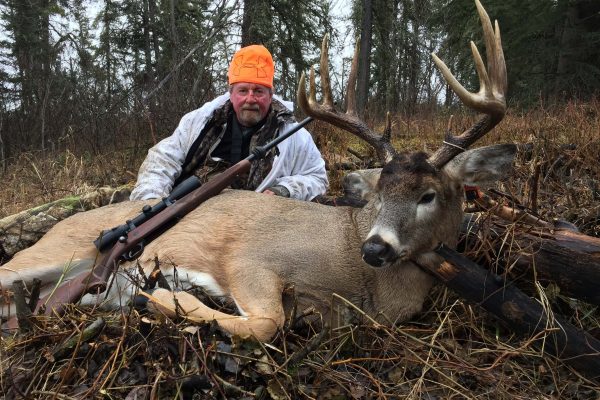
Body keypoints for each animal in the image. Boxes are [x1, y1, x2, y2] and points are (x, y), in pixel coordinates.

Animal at [1, 0, 516, 344]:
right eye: (379, 193)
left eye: (428, 194)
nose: (376, 247)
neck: (358, 277)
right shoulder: (249, 259)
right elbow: (267, 322)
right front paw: (163, 297)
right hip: (50, 253)